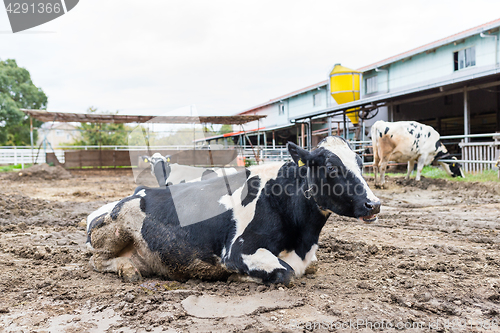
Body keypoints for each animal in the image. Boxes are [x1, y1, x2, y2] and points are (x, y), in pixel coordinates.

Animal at [88, 136, 380, 284]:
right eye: (331, 167)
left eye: (360, 162)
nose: (374, 204)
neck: (303, 239)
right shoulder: (237, 251)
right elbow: (285, 272)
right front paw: (240, 278)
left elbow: (310, 267)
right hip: (117, 227)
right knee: (98, 261)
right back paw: (127, 270)